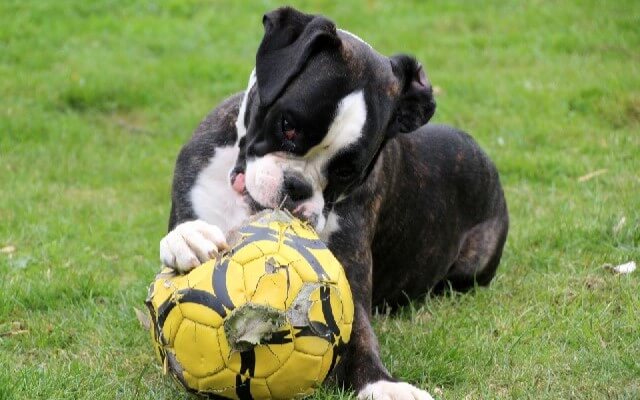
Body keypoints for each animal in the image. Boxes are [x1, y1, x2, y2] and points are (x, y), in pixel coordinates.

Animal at [160, 6, 510, 400]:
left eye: (346, 171)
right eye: (288, 125)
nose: (296, 187)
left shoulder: (348, 281)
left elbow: (359, 336)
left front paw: (383, 384)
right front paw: (189, 238)